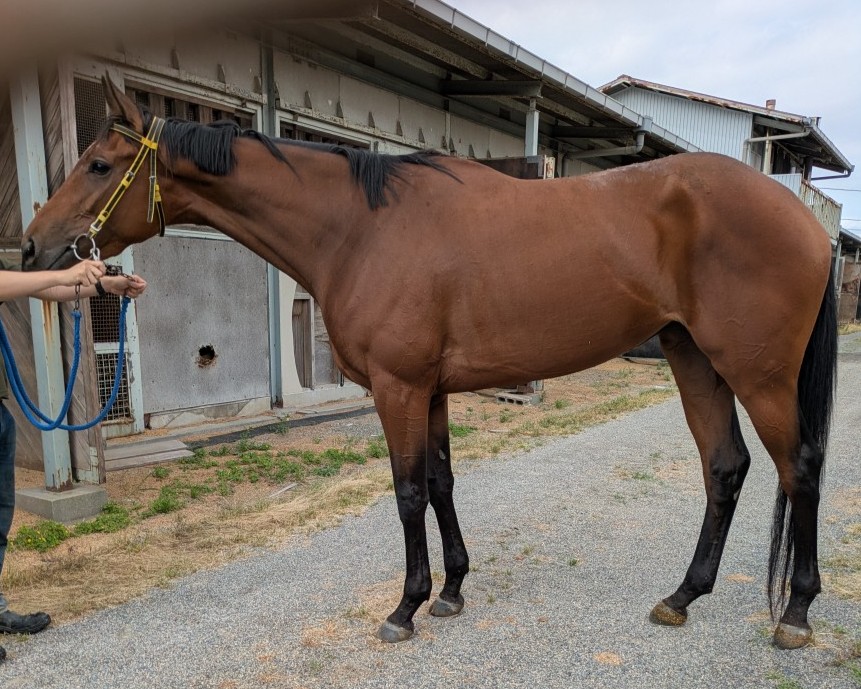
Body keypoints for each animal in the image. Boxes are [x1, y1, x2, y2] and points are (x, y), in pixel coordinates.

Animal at [22, 76, 837, 649]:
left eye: (99, 164)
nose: (32, 247)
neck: (360, 229)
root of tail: (804, 222)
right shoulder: (433, 389)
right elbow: (442, 480)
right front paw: (450, 590)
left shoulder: (399, 387)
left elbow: (409, 489)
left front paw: (406, 606)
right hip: (692, 357)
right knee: (725, 467)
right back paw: (681, 596)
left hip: (757, 373)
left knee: (798, 466)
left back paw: (795, 611)